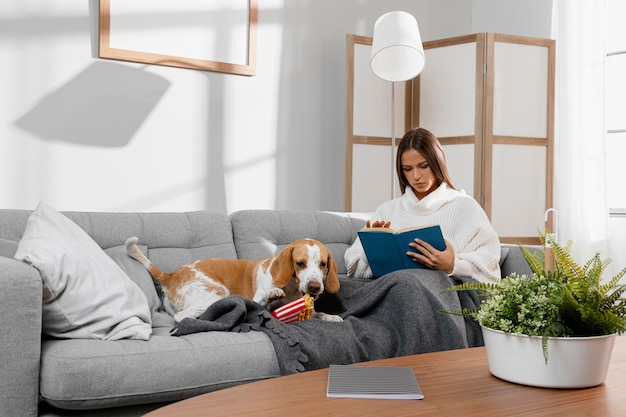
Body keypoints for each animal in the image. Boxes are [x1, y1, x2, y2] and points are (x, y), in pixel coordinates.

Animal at [125, 237, 342, 322]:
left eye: (323, 264)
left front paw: (331, 317)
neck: (291, 288)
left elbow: (320, 314)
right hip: (220, 293)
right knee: (181, 317)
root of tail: (170, 276)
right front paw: (272, 293)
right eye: (300, 263)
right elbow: (264, 299)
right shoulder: (257, 301)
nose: (314, 287)